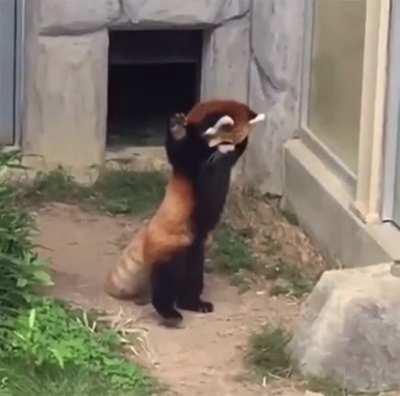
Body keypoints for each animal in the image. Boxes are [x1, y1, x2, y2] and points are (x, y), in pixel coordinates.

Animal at [105, 99, 266, 324]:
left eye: (234, 144)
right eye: (223, 143)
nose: (226, 154)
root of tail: (147, 234)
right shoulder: (187, 163)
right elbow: (177, 152)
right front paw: (177, 129)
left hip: (195, 251)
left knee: (192, 279)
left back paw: (193, 303)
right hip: (171, 247)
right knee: (165, 282)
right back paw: (168, 312)